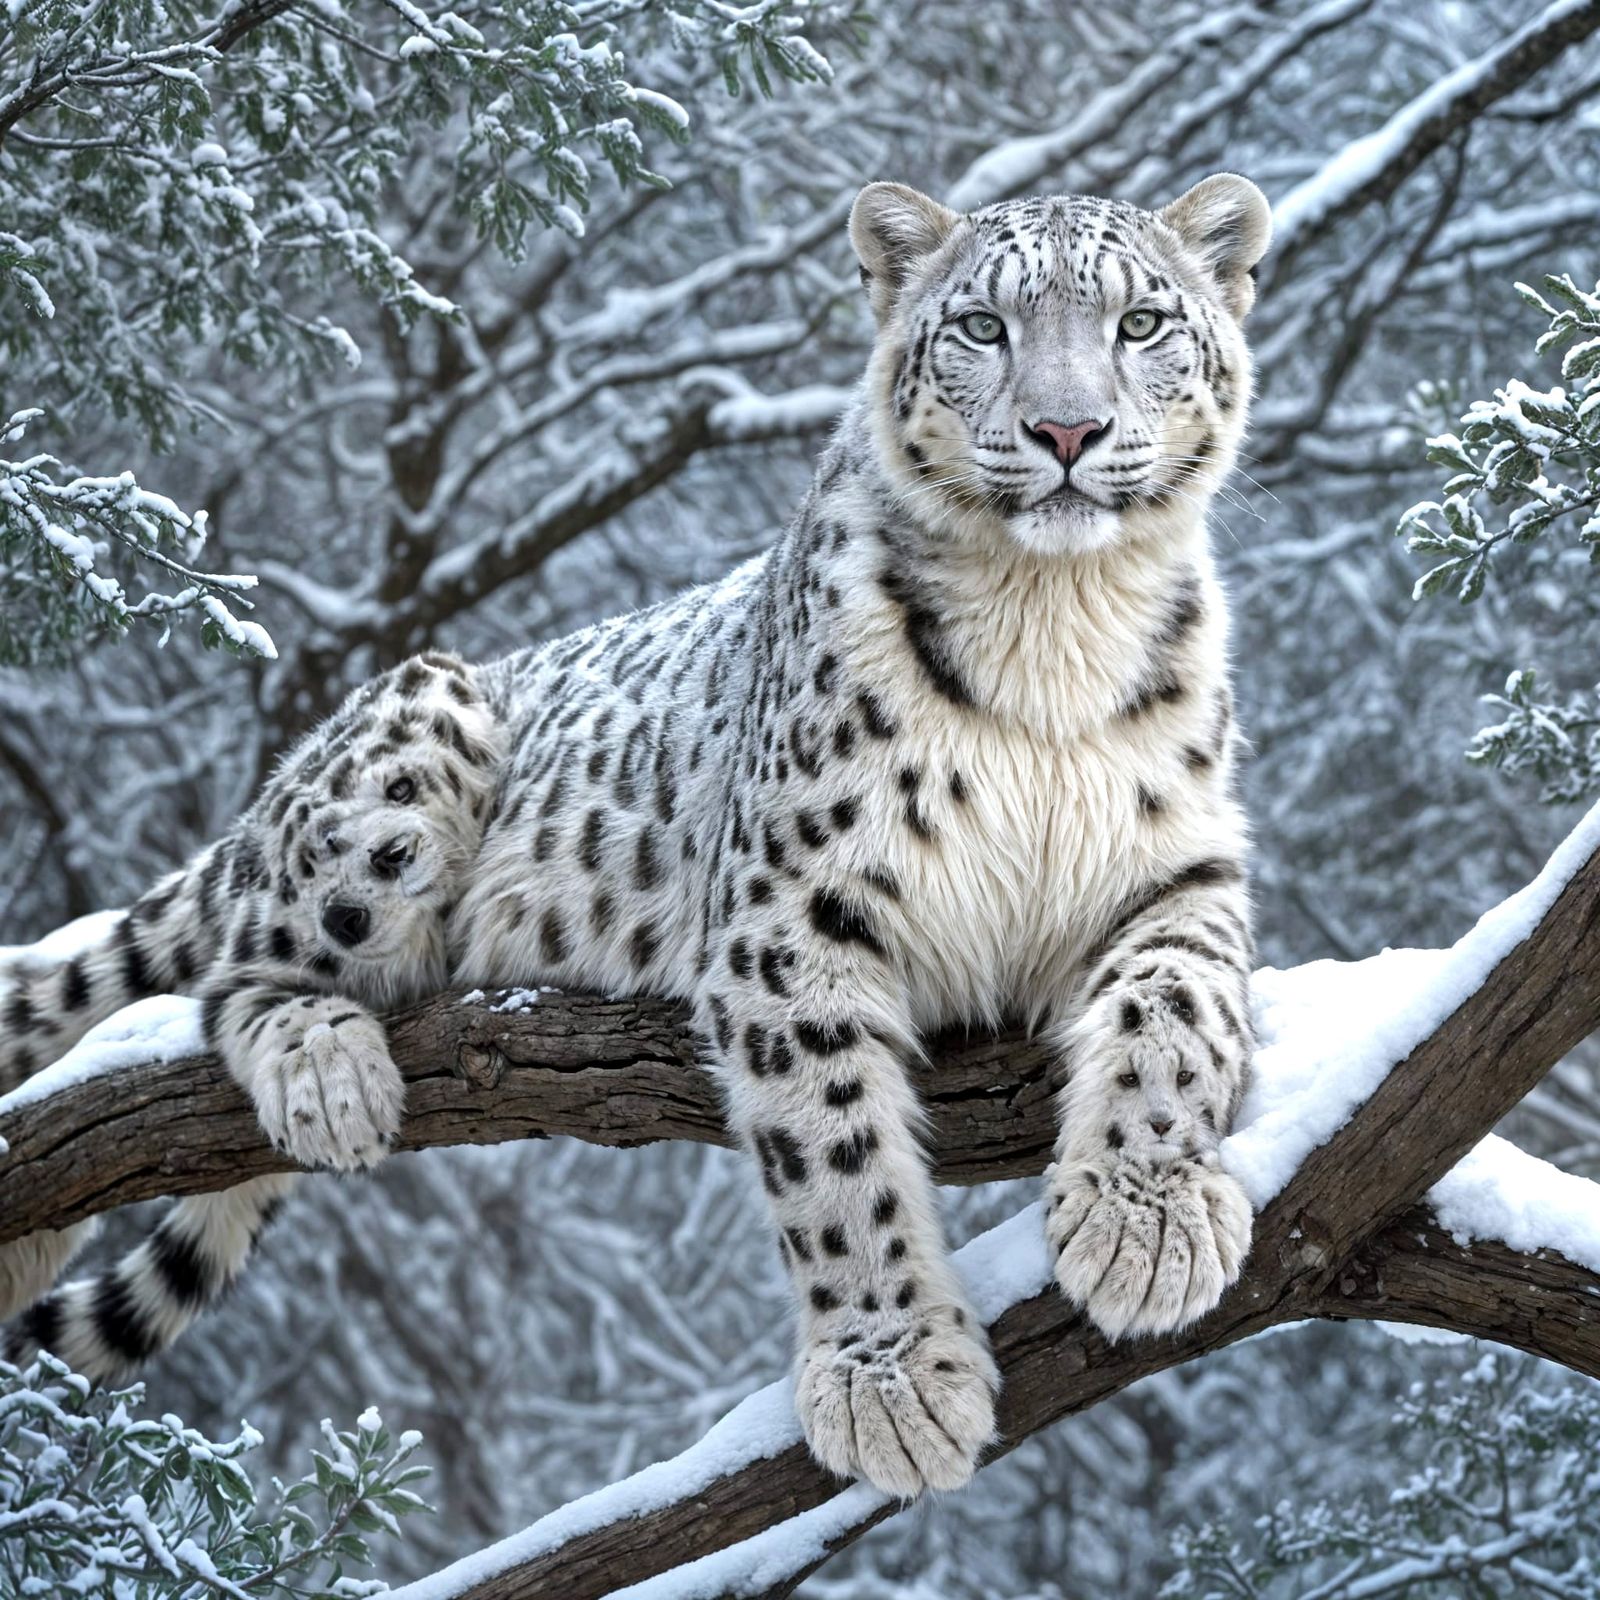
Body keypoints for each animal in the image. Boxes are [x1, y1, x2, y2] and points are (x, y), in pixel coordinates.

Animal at [1, 172, 1269, 1501]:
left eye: (1139, 323)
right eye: (983, 326)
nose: (1066, 430)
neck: (1052, 626)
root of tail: (278, 784)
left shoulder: (1181, 868)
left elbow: (1178, 1007)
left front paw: (1146, 1219)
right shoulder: (790, 912)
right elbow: (834, 1151)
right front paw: (890, 1380)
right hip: (404, 759)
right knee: (240, 976)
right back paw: (329, 1073)